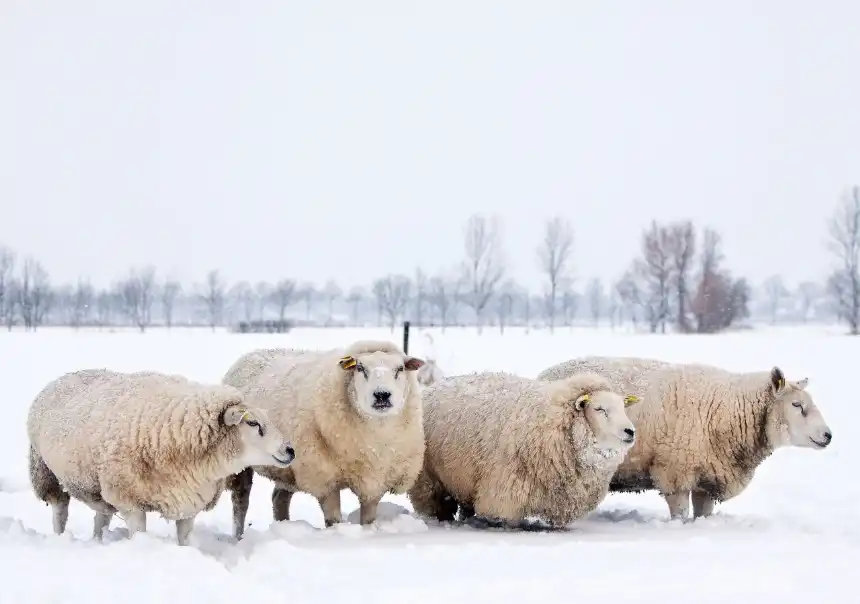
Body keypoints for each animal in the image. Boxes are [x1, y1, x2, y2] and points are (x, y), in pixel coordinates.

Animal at [26, 366, 296, 544]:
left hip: (97, 485)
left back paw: (98, 540)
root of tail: (63, 377)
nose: (290, 450)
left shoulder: (188, 502)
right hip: (45, 471)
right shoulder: (130, 501)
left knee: (101, 517)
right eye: (252, 423)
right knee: (60, 510)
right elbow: (139, 533)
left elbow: (184, 539)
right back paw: (59, 537)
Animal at [220, 340, 424, 536]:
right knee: (240, 500)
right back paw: (239, 536)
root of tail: (252, 352)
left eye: (400, 369)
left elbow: (368, 520)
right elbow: (333, 521)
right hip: (242, 464)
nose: (382, 395)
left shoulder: (375, 482)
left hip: (288, 468)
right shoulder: (324, 480)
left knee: (279, 497)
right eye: (360, 368)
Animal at [406, 370, 640, 528]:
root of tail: (432, 388)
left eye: (623, 407)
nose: (630, 431)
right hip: (428, 481)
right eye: (599, 409)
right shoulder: (504, 491)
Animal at [536, 356, 832, 520]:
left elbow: (703, 513)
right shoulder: (674, 471)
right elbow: (680, 513)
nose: (828, 435)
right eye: (796, 405)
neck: (728, 408)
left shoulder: (709, 475)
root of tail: (543, 374)